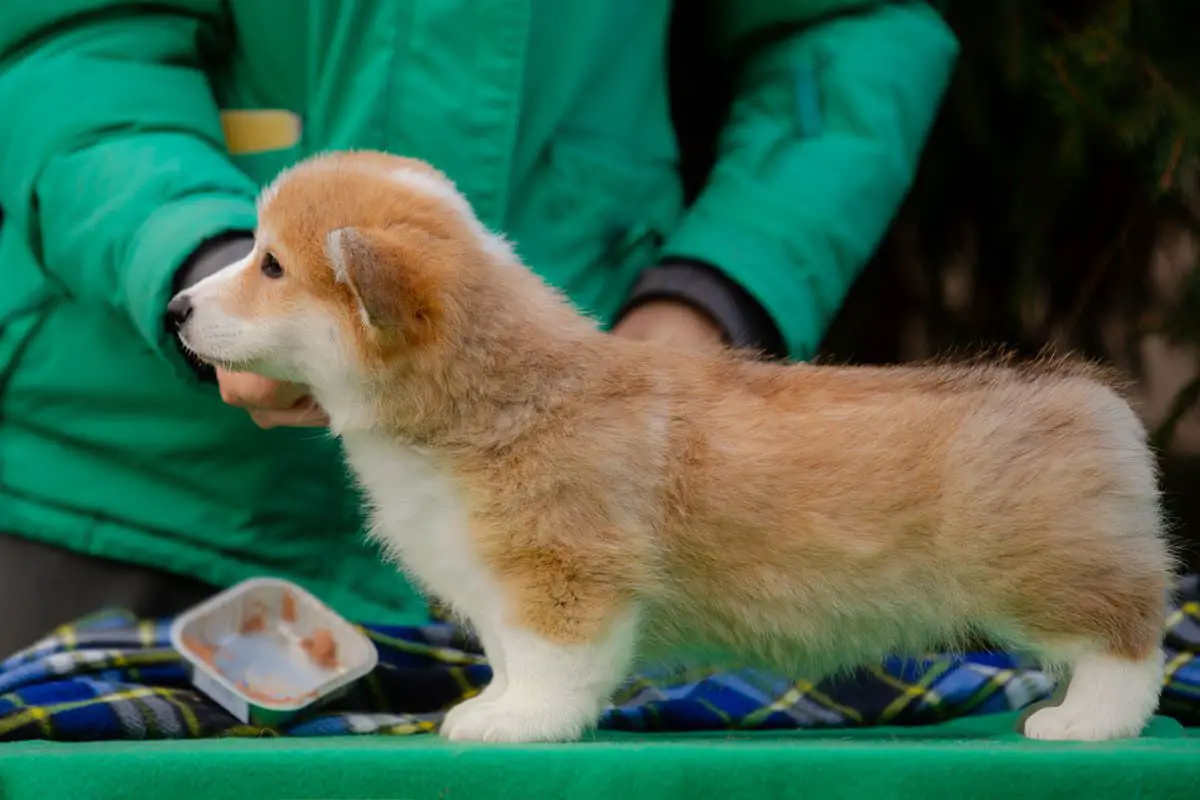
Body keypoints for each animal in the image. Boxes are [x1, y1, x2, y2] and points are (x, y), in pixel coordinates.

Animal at [171, 148, 1171, 743]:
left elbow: (553, 666)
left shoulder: (566, 577)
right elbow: (506, 654)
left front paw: (517, 726)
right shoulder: (498, 586)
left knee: (1130, 643)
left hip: (1048, 574)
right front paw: (488, 705)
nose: (176, 309)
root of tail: (1093, 402)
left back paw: (1084, 725)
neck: (484, 397)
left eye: (271, 266)